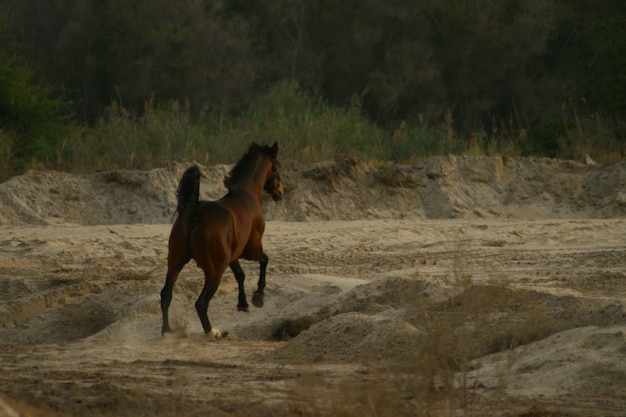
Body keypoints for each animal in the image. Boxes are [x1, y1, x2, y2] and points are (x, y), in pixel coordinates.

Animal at [158, 141, 282, 336]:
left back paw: (167, 331)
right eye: (278, 166)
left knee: (166, 295)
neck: (246, 195)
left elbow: (240, 275)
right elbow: (264, 261)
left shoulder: (232, 256)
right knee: (201, 303)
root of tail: (194, 211)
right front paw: (258, 295)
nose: (281, 192)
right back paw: (212, 332)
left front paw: (243, 304)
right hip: (215, 271)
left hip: (175, 264)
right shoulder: (252, 249)